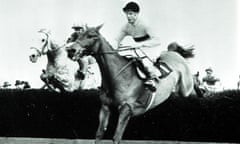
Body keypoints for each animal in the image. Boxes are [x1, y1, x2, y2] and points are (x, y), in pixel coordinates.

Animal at [66, 25, 197, 144]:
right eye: (78, 35)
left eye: (91, 36)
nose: (71, 50)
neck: (117, 76)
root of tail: (173, 53)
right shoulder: (105, 107)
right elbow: (99, 135)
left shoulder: (126, 109)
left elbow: (116, 137)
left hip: (185, 88)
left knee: (192, 85)